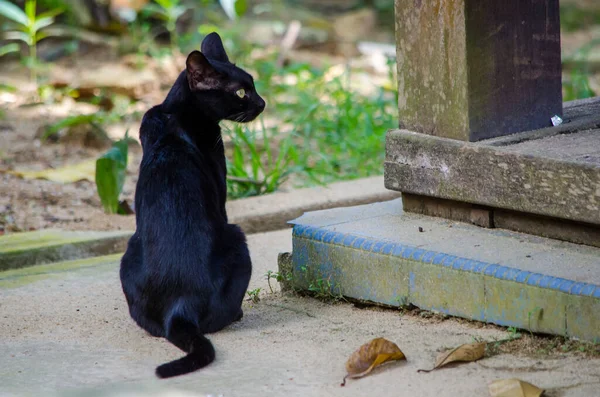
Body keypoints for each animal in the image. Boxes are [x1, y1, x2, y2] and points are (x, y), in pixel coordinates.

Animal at [119, 31, 264, 378]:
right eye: (241, 92)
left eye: (253, 84)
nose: (263, 102)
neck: (174, 112)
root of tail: (179, 306)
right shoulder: (220, 187)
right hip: (238, 237)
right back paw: (237, 314)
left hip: (126, 255)